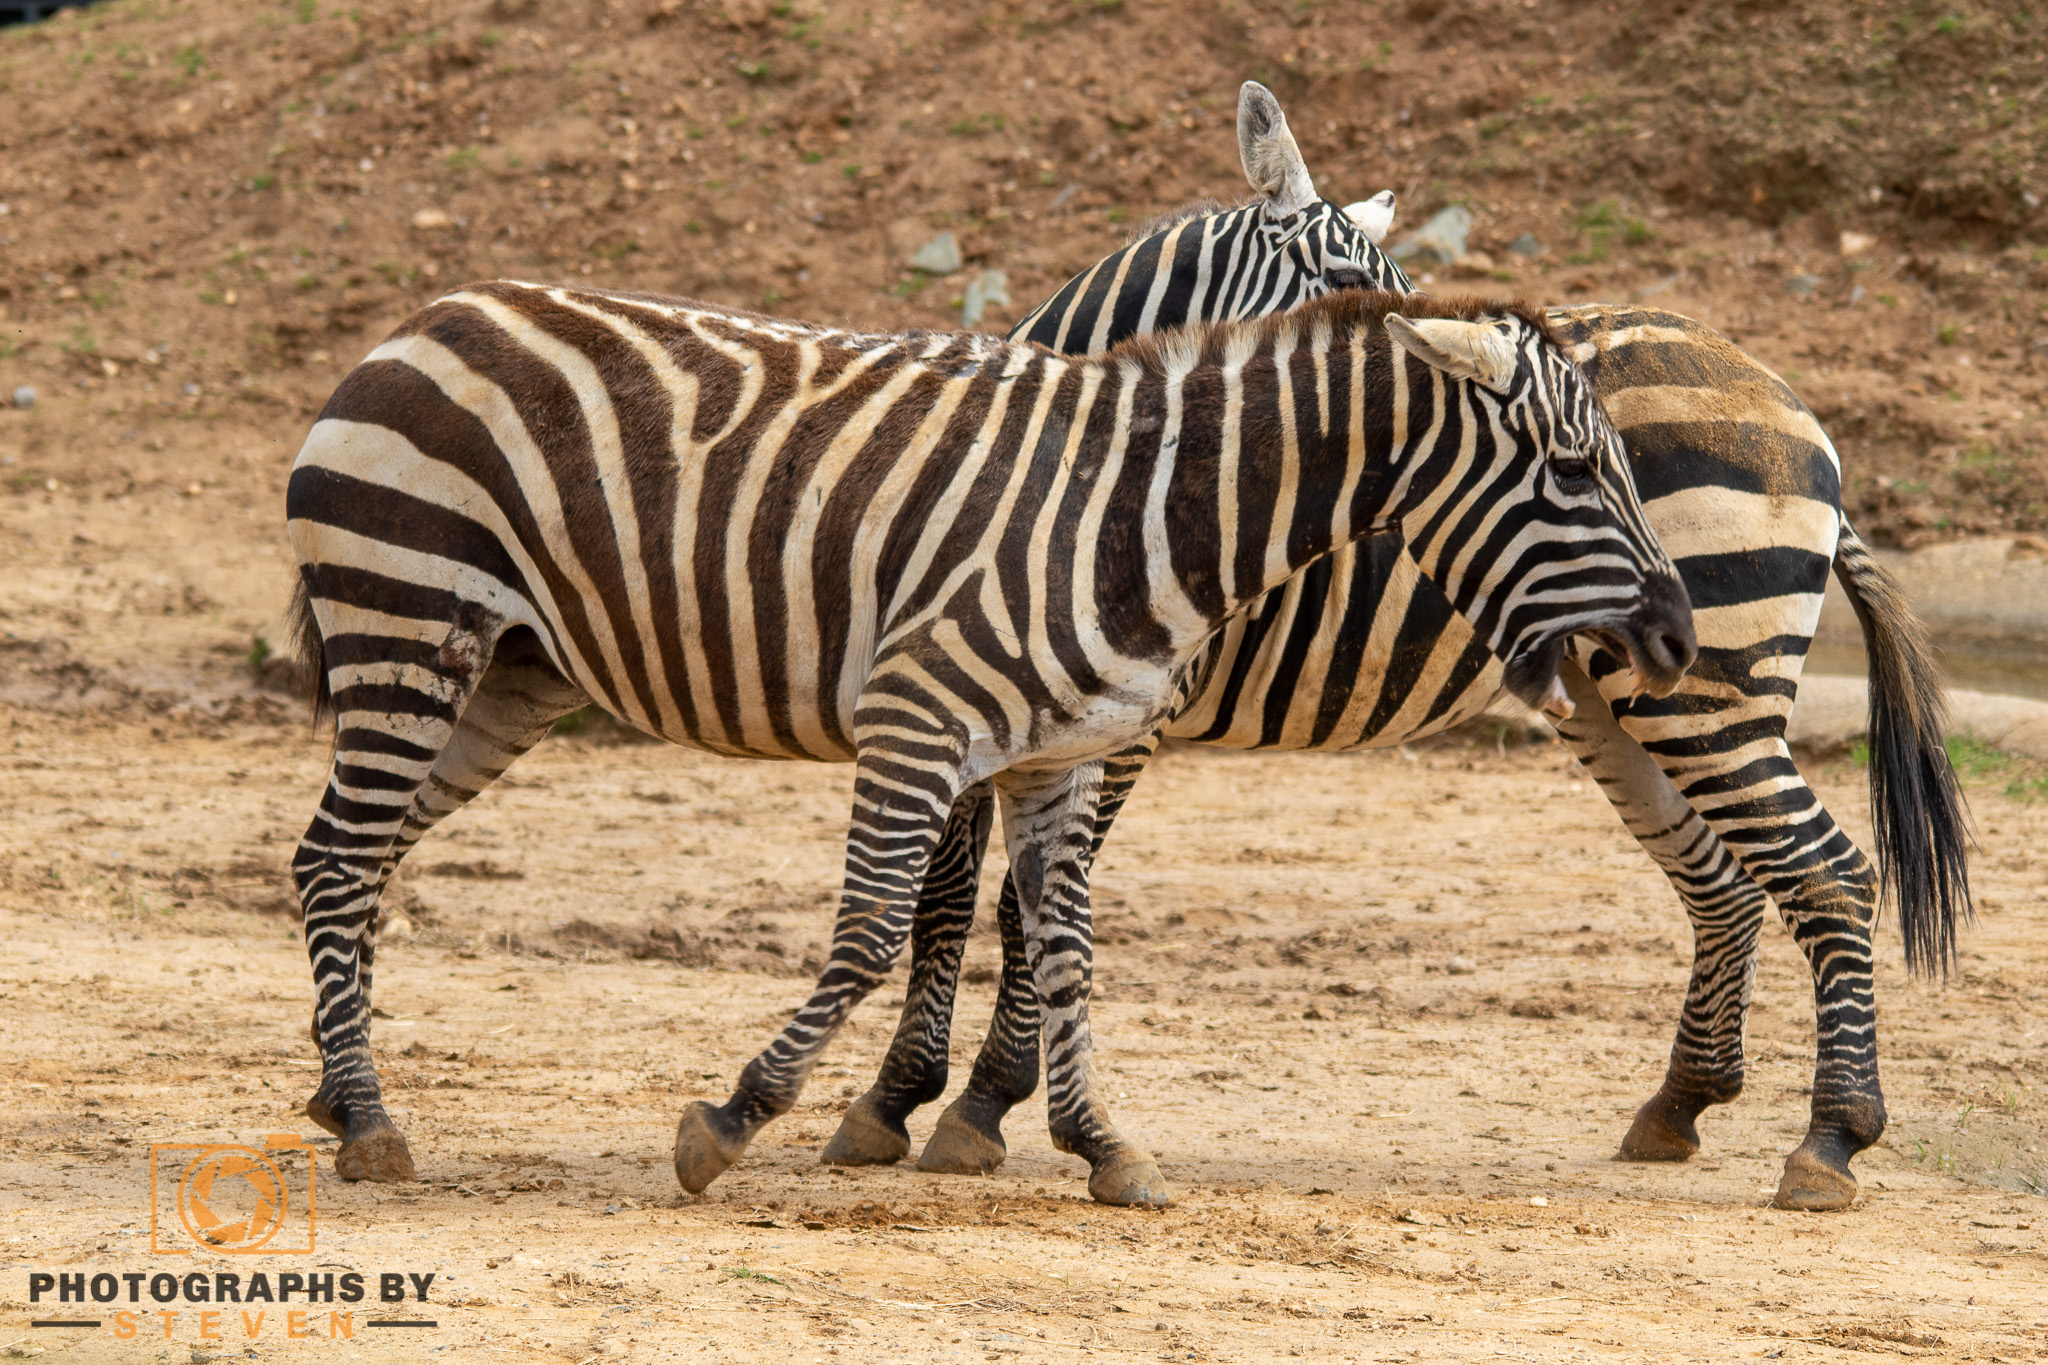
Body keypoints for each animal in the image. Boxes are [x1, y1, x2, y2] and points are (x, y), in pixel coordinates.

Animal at [281, 280, 1695, 1206]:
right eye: (1575, 470)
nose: (1677, 638)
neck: (1148, 517)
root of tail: (428, 317)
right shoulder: (914, 717)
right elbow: (872, 934)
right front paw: (734, 1120)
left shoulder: (1056, 756)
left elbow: (1063, 950)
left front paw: (1099, 1146)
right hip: (407, 618)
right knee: (344, 862)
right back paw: (369, 1124)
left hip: (509, 674)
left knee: (340, 859)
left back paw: (336, 1093)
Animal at [818, 83, 1969, 1212]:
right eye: (1344, 285)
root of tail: (1782, 395)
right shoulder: (967, 692)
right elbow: (945, 896)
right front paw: (896, 1098)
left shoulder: (1117, 723)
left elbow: (1026, 906)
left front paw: (977, 1104)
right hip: (1623, 701)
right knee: (1723, 878)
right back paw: (1681, 1103)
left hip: (1709, 691)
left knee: (1826, 872)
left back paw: (1830, 1138)